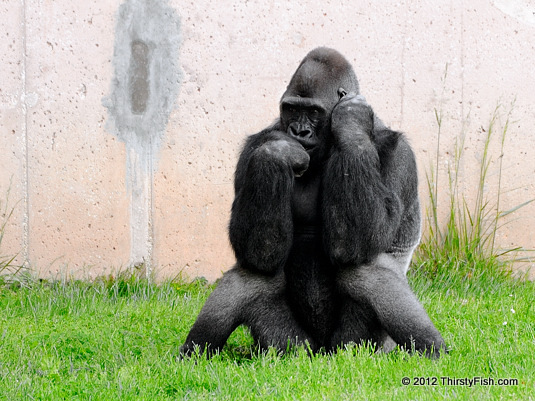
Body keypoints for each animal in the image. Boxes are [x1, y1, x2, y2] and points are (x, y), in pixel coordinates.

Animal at [181, 46, 448, 356]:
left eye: (313, 112)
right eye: (292, 109)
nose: (299, 132)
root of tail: (321, 352)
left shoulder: (398, 153)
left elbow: (361, 241)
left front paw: (351, 121)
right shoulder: (252, 148)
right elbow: (257, 250)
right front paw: (279, 150)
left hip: (356, 346)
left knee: (364, 270)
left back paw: (432, 348)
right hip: (289, 346)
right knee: (253, 272)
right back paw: (194, 352)